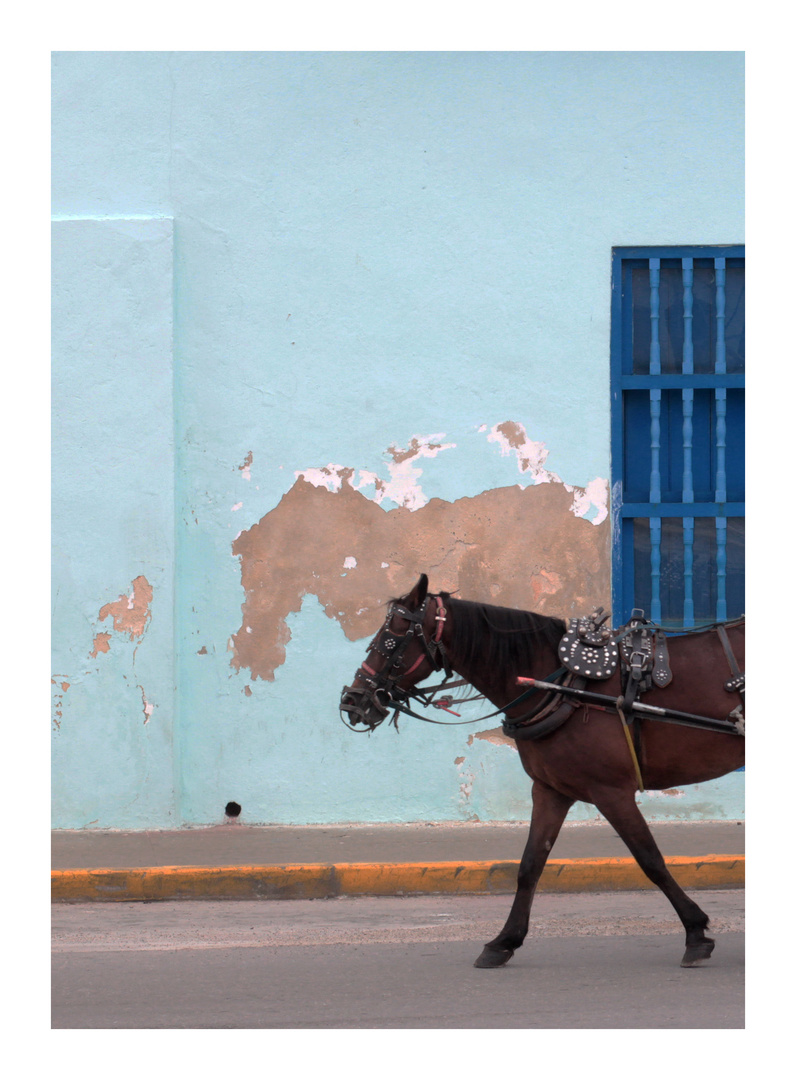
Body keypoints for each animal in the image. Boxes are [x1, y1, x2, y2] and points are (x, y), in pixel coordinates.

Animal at [339, 574, 743, 972]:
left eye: (391, 636)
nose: (352, 700)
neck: (564, 686)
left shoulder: (611, 791)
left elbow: (651, 860)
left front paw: (695, 931)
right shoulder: (550, 790)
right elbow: (530, 865)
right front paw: (504, 941)